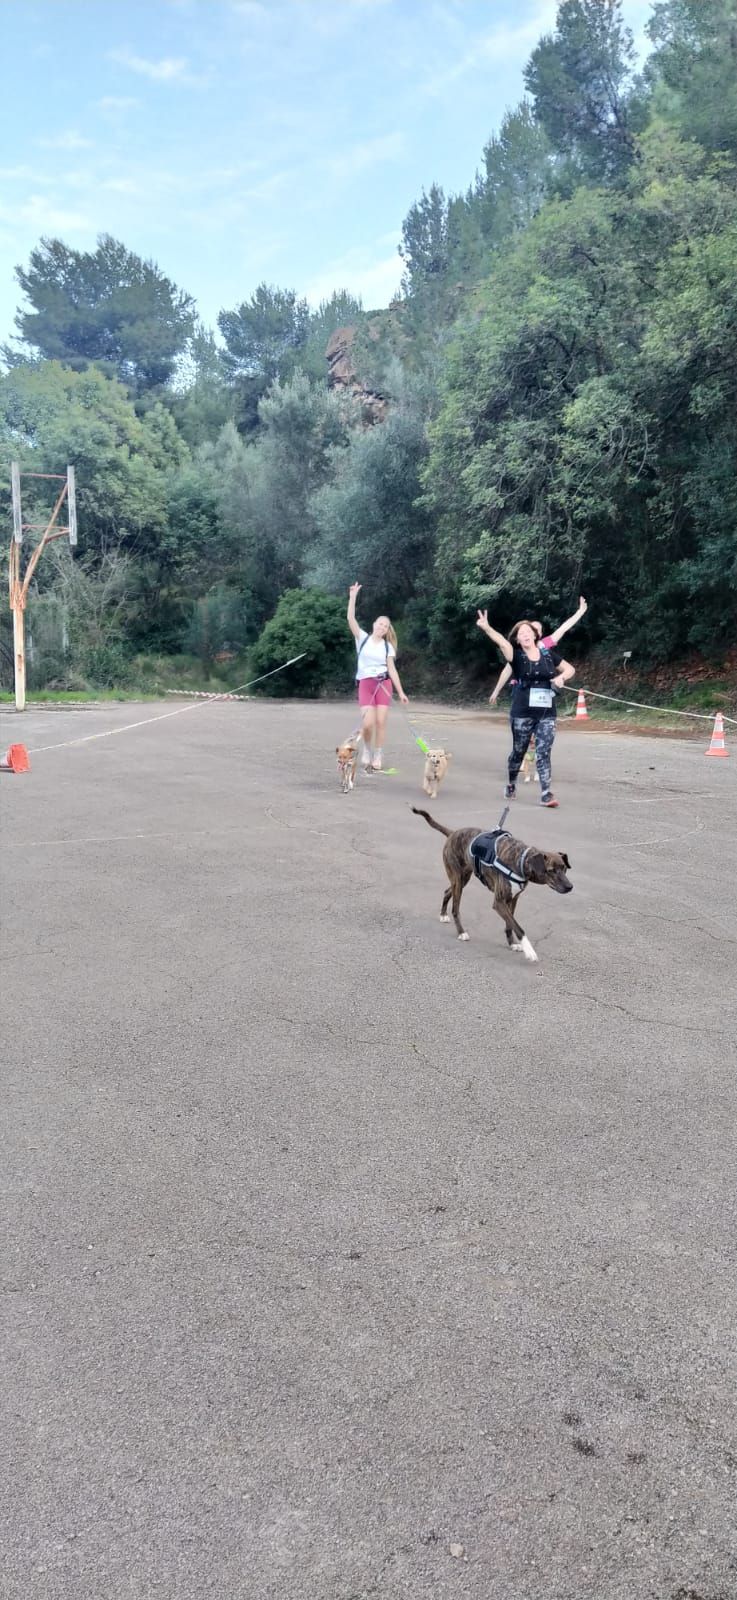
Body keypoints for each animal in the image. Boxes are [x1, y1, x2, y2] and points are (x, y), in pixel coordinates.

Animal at [409, 800, 572, 960]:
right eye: (551, 871)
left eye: (564, 868)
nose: (570, 886)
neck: (521, 859)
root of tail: (453, 833)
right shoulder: (499, 902)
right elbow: (518, 927)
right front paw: (529, 950)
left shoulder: (513, 899)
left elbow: (510, 924)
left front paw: (513, 943)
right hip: (458, 878)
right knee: (456, 908)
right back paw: (461, 932)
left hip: (462, 879)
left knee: (447, 891)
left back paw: (443, 915)